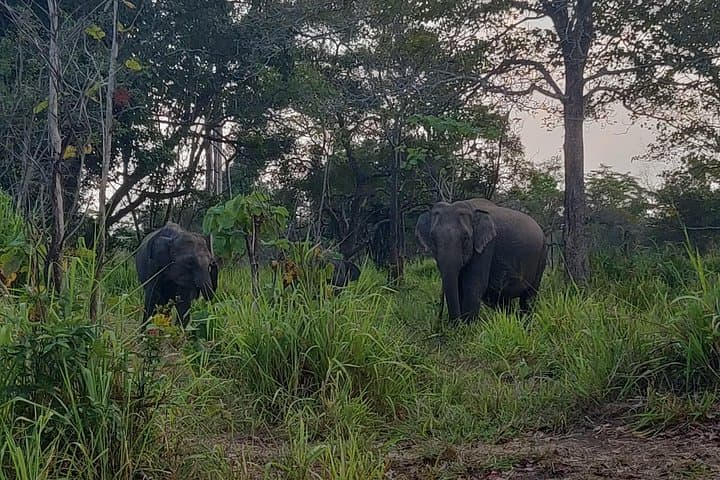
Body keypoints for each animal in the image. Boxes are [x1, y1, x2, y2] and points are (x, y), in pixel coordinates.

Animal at [415, 198, 546, 322]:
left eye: (465, 238)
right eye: (432, 237)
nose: (440, 321)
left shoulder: (486, 247)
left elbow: (473, 286)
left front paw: (466, 328)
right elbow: (459, 286)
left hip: (541, 256)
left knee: (528, 298)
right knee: (503, 302)